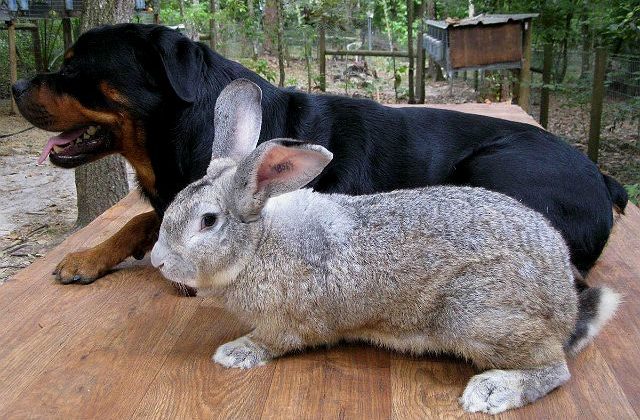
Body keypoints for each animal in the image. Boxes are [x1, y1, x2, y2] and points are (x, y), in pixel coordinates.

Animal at [150, 79, 620, 415]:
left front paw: (234, 353)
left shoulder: (287, 324)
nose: (158, 261)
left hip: (477, 315)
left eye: (208, 221)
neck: (259, 244)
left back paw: (492, 391)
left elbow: (272, 341)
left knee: (554, 368)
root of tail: (565, 304)